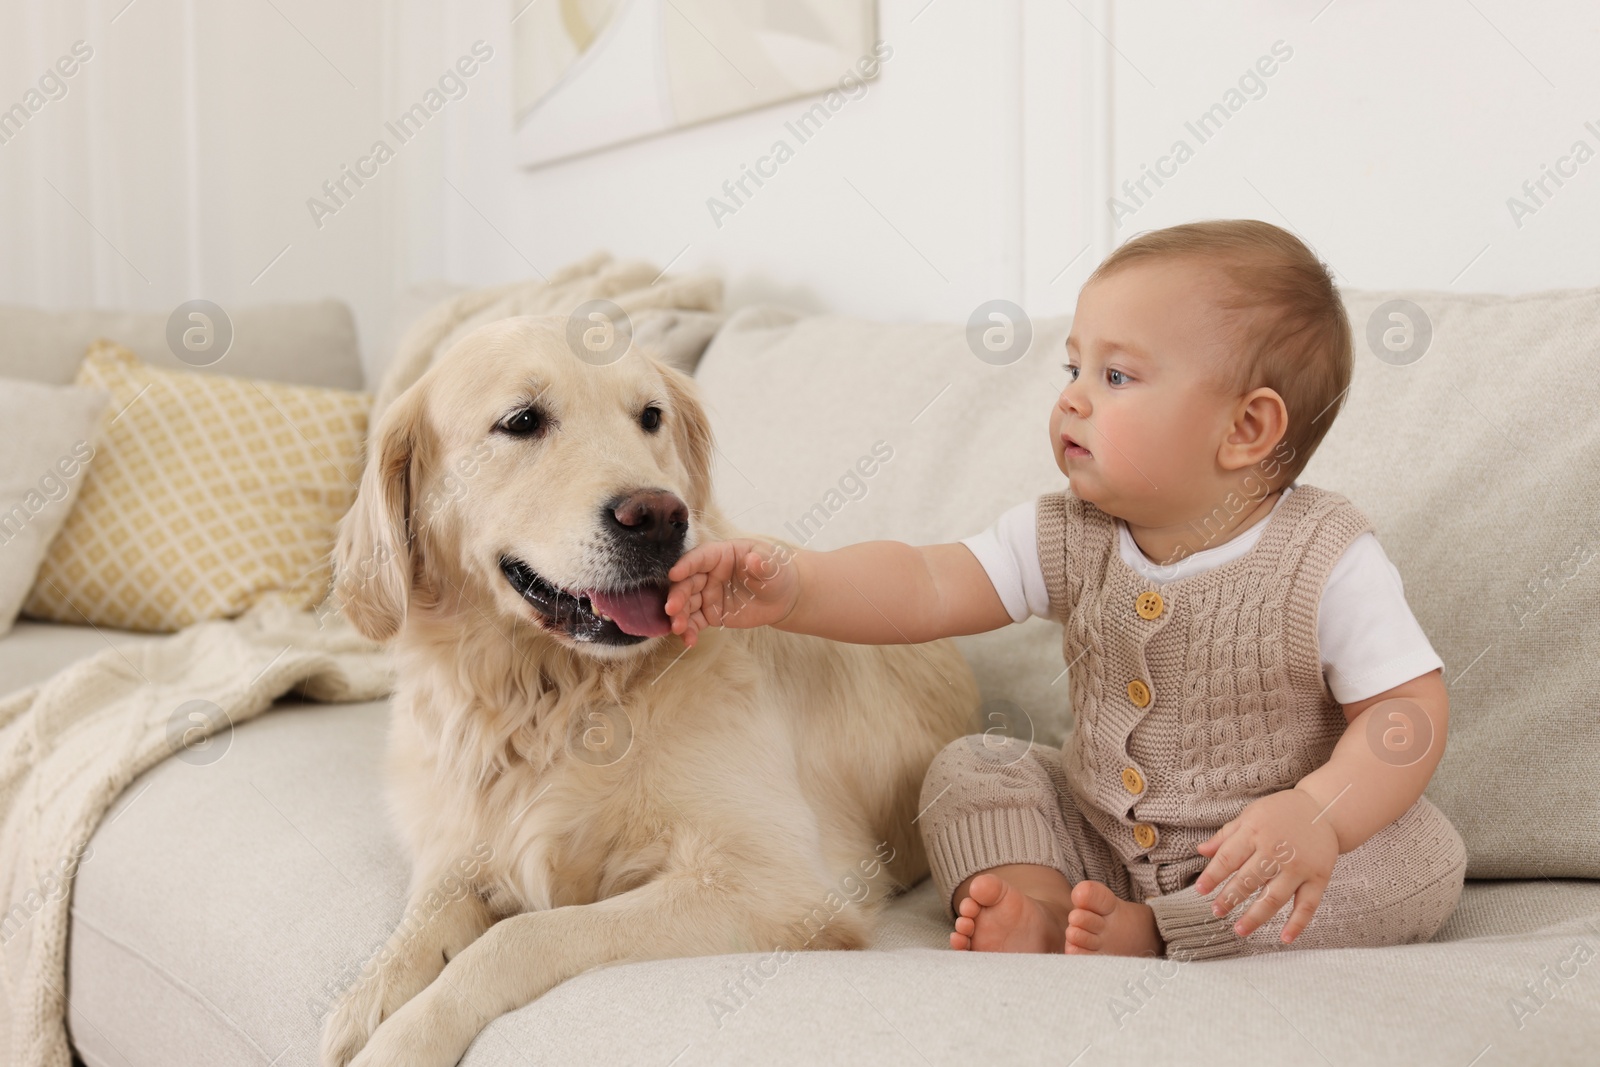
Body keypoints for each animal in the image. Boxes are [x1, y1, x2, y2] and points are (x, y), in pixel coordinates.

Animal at [321, 313, 972, 1062]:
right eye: (522, 420)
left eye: (651, 417)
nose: (661, 515)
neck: (549, 694)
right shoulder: (457, 843)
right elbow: (427, 911)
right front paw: (372, 993)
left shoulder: (779, 885)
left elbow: (522, 933)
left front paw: (407, 1033)